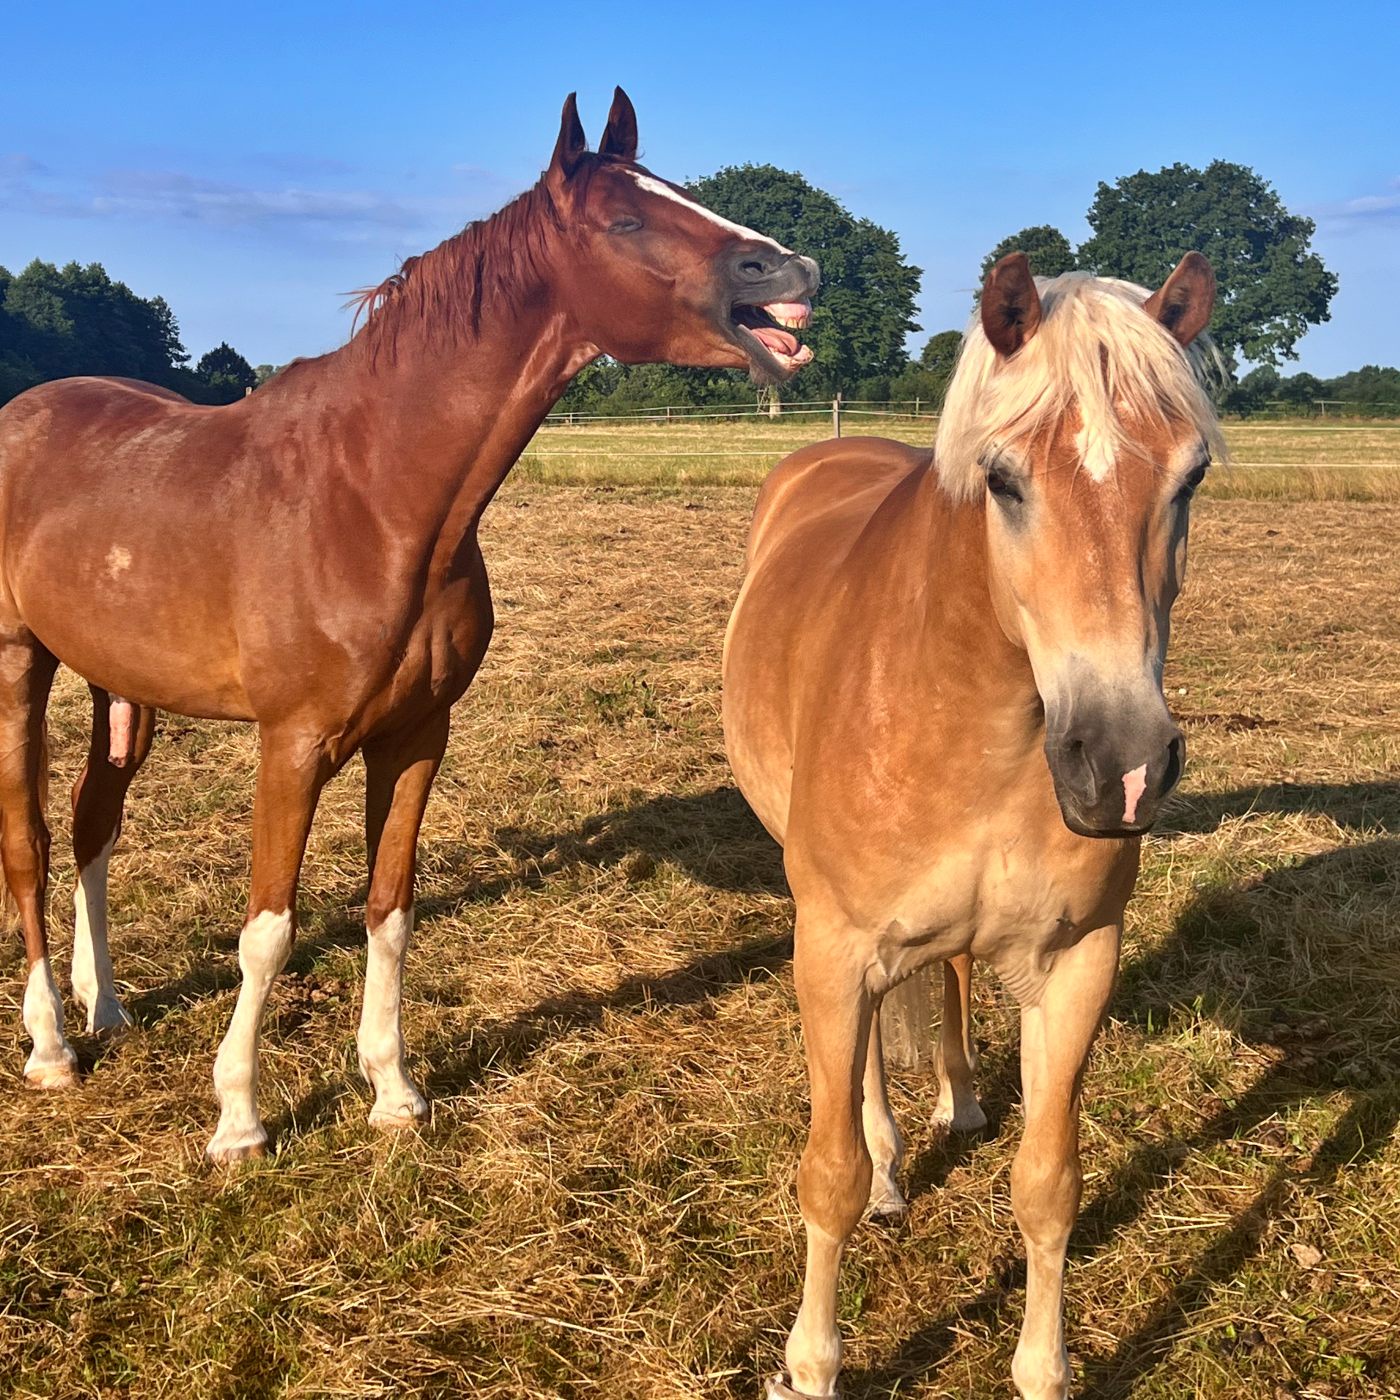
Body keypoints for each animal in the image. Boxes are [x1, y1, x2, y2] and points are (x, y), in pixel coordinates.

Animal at [0, 88, 818, 1163]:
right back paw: (52, 1045)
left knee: (94, 824)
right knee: (29, 844)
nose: (795, 271)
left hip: (118, 685)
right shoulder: (294, 743)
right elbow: (268, 927)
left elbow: (390, 910)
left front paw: (393, 1092)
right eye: (624, 221)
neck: (375, 495)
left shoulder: (417, 734)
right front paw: (239, 1120)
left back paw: (108, 1008)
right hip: (19, 665)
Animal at [723, 251, 1222, 1399]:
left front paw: (1042, 1367)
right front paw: (810, 1363)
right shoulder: (835, 946)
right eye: (1002, 479)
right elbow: (826, 1172)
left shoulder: (1079, 961)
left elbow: (1049, 1181)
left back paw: (955, 1100)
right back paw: (892, 1164)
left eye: (1188, 480)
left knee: (947, 976)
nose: (1122, 767)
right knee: (863, 1068)